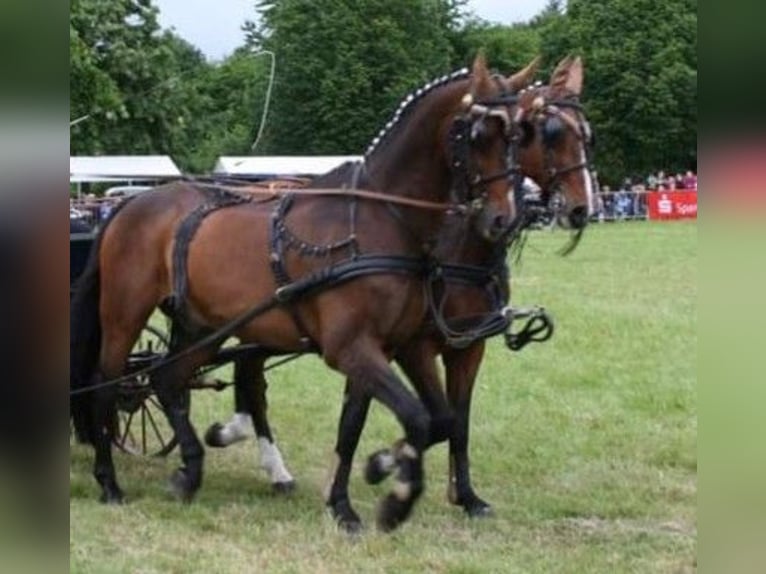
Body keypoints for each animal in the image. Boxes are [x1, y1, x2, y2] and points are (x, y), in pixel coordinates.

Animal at [70, 55, 520, 536]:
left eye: (517, 134)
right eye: (477, 134)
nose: (503, 217)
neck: (380, 218)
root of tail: (128, 206)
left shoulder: (392, 345)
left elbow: (387, 423)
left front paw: (359, 487)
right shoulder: (353, 347)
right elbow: (416, 418)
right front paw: (391, 497)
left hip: (201, 325)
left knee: (167, 379)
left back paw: (189, 472)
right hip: (124, 314)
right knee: (104, 386)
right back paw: (109, 482)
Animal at [207, 56, 596, 528]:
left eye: (586, 133)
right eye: (547, 133)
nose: (582, 208)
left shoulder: (467, 347)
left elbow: (454, 422)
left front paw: (466, 496)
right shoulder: (405, 345)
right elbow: (394, 420)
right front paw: (370, 474)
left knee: (249, 374)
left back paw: (258, 451)